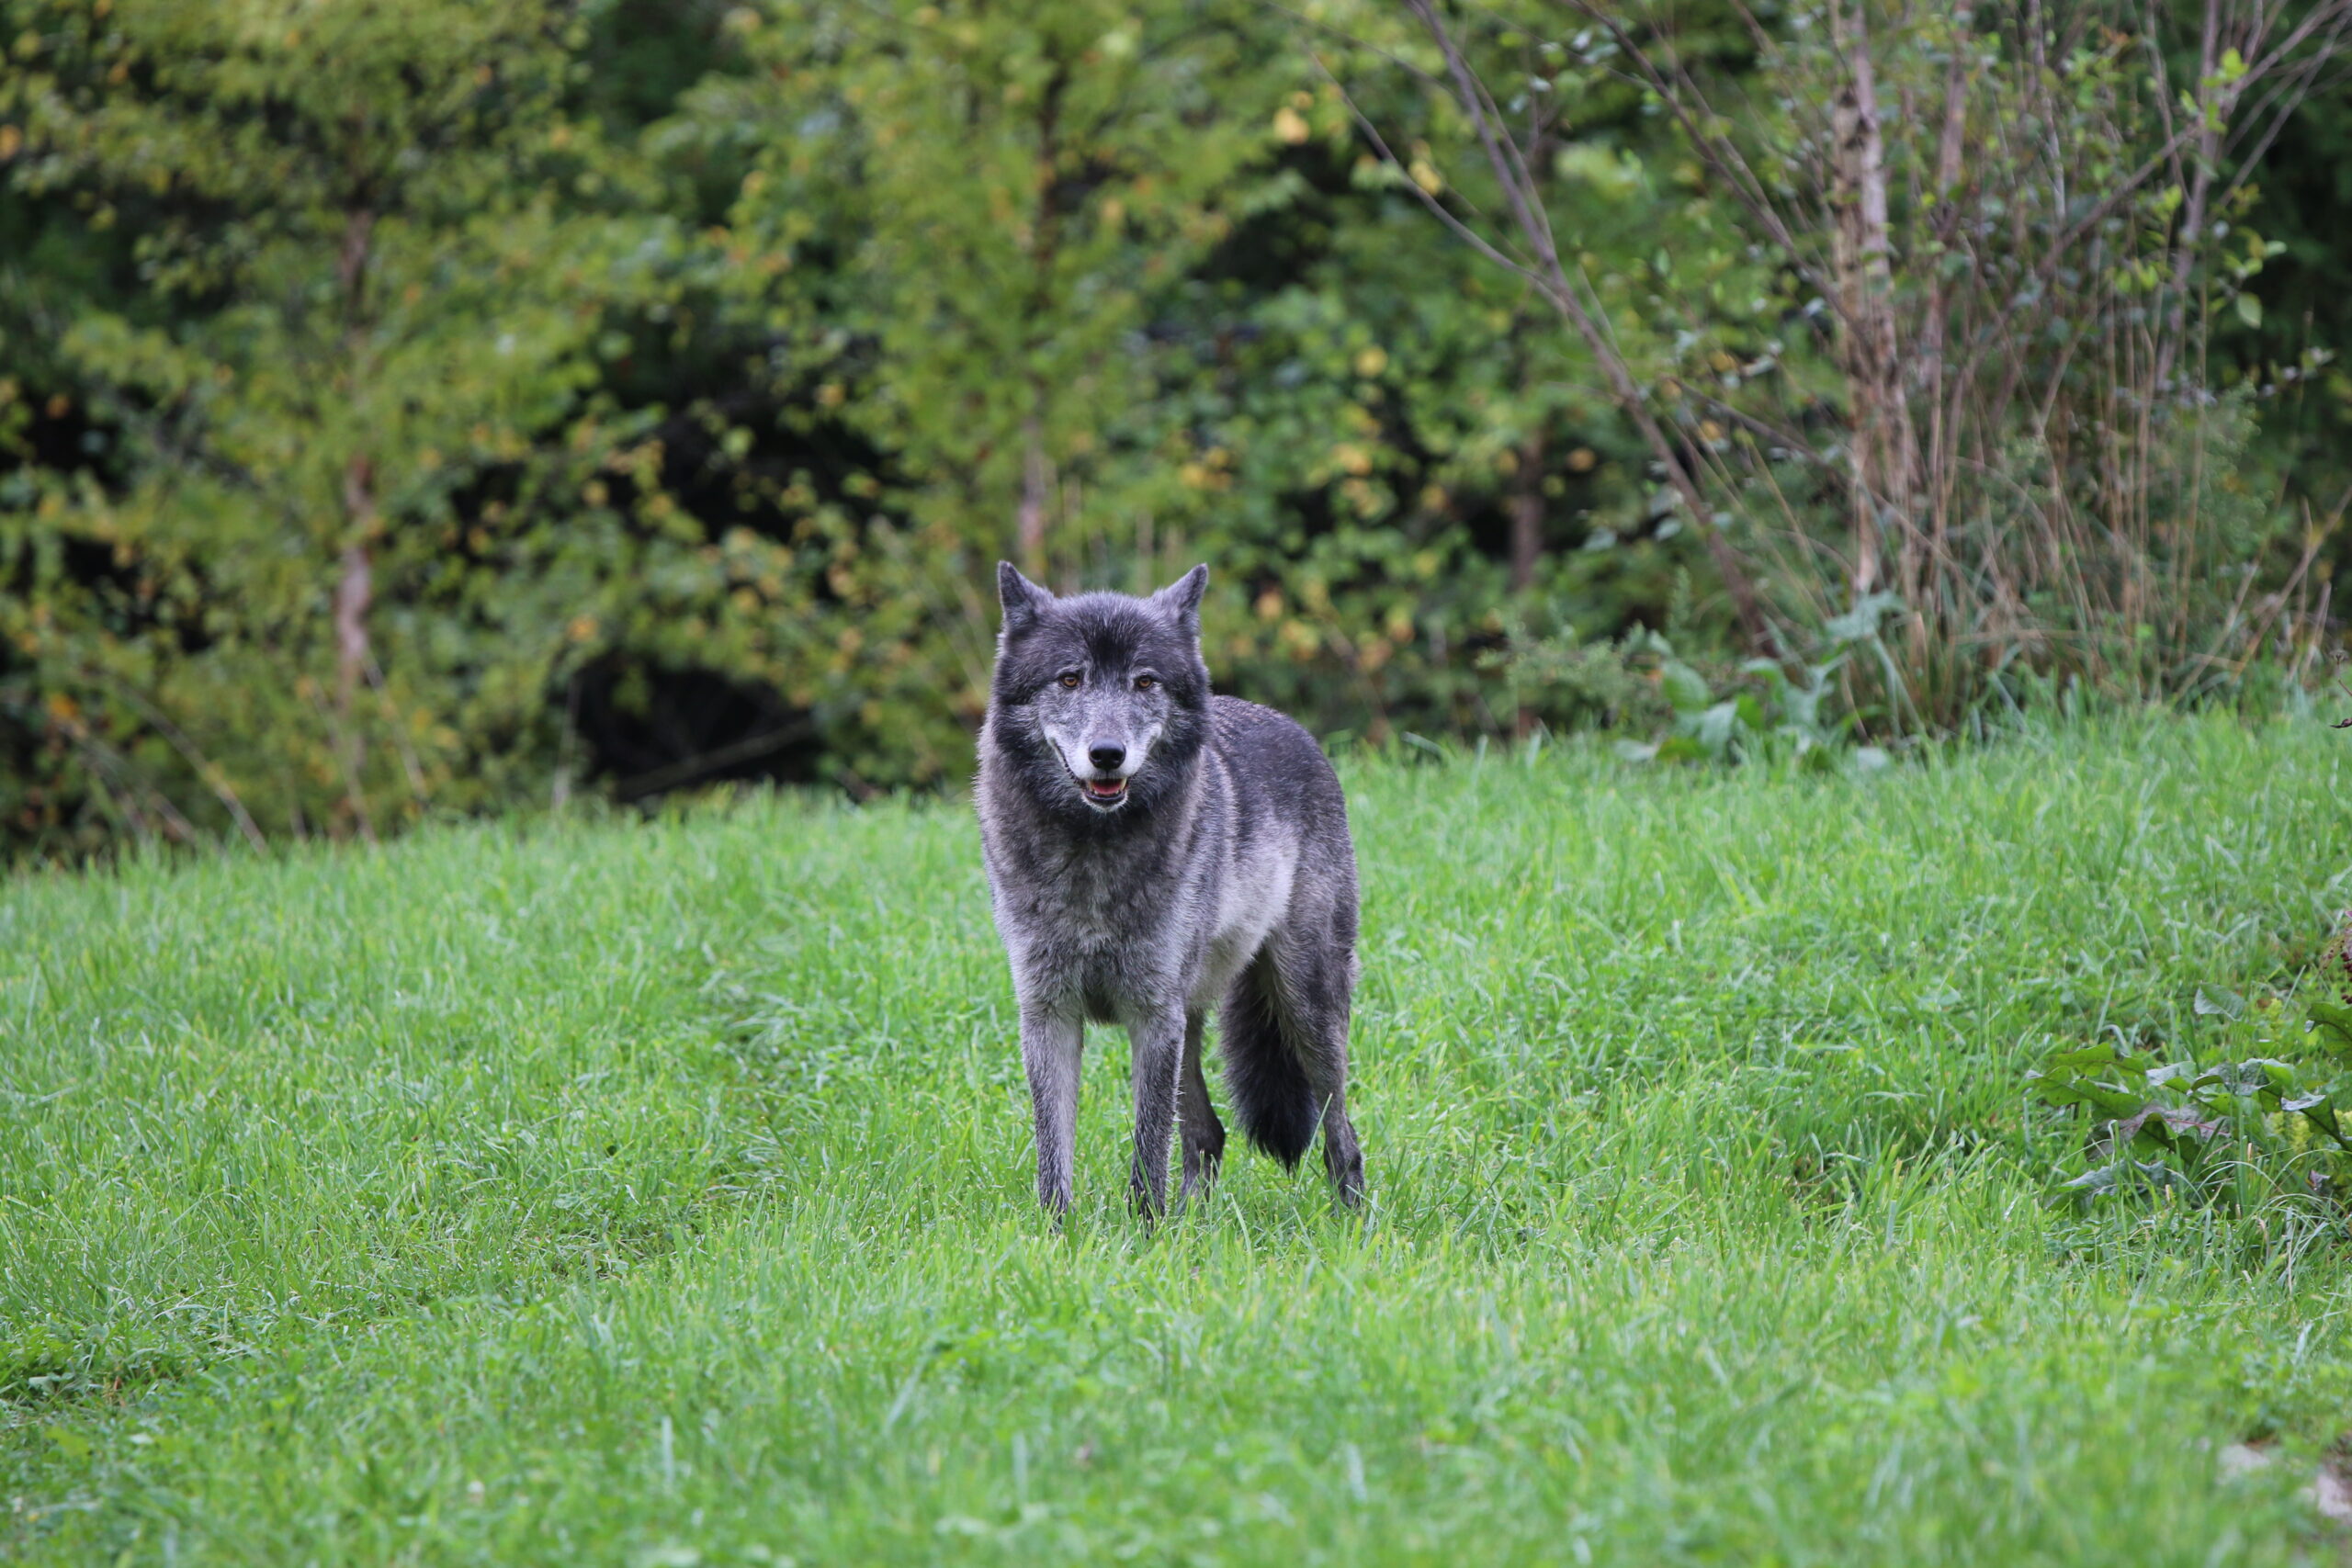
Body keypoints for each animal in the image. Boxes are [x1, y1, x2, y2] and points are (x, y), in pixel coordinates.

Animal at [973, 557, 1374, 1222]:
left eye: (1144, 682)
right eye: (1070, 679)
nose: (1107, 754)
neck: (1095, 857)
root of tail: (1294, 728)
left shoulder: (1151, 1016)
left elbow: (1147, 1147)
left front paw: (1144, 1232)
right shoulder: (1049, 1013)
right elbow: (1055, 1155)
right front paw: (1056, 1237)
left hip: (1304, 1004)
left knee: (1340, 1133)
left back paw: (1353, 1226)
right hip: (1195, 1021)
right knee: (1209, 1132)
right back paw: (1195, 1225)